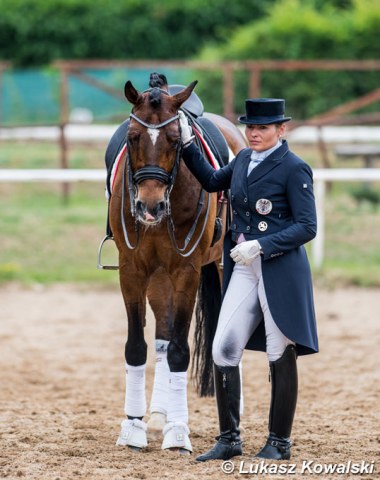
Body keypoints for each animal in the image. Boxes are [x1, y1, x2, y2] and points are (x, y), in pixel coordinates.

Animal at [101, 71, 246, 454]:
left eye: (174, 139)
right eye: (133, 137)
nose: (150, 207)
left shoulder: (186, 272)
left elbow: (181, 351)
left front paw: (179, 432)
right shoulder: (132, 271)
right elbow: (138, 347)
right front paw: (134, 427)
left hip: (221, 268)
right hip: (158, 279)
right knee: (163, 339)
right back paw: (157, 417)